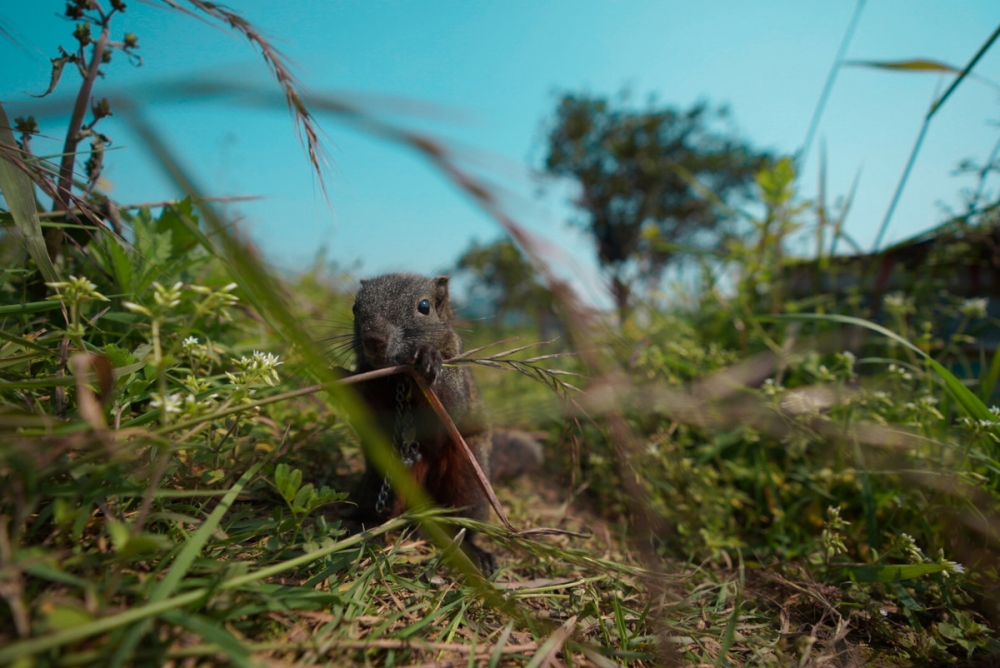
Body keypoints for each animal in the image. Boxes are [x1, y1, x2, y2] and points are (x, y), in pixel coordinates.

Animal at [346, 272, 548, 576]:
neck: (399, 379)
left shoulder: (456, 372)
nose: (374, 339)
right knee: (375, 509)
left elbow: (451, 405)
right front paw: (340, 377)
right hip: (378, 479)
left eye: (424, 306)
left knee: (463, 525)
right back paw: (365, 531)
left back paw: (475, 553)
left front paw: (428, 359)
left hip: (468, 480)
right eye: (355, 308)